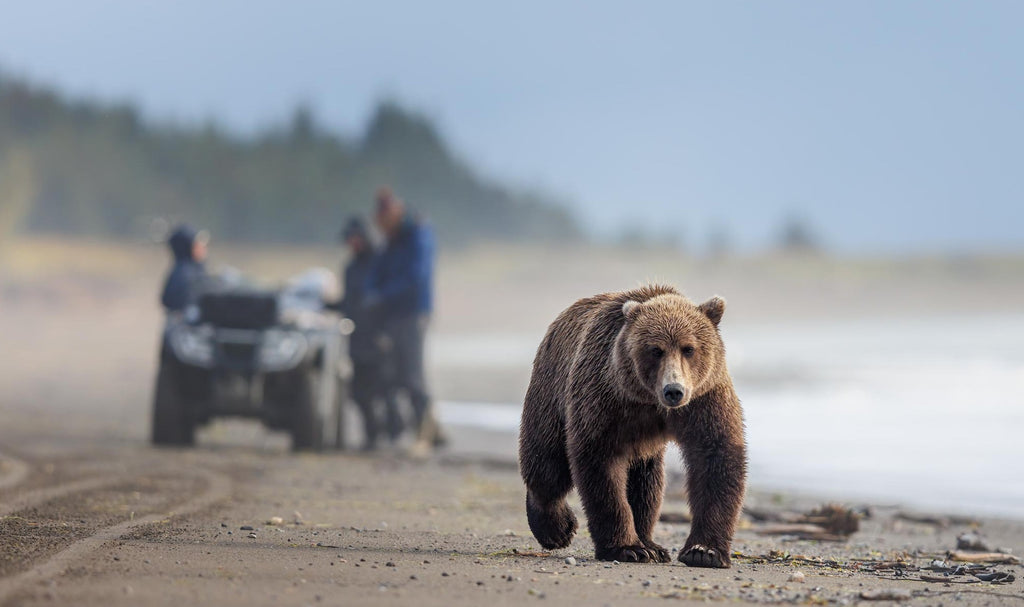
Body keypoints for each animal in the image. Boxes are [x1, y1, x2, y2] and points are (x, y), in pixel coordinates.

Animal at [520, 286, 745, 565]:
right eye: (656, 350)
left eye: (689, 348)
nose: (674, 390)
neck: (649, 400)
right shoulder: (606, 399)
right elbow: (600, 463)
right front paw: (627, 548)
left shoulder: (703, 398)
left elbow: (715, 456)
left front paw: (704, 551)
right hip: (551, 390)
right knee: (548, 463)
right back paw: (558, 528)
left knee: (647, 483)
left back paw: (651, 544)